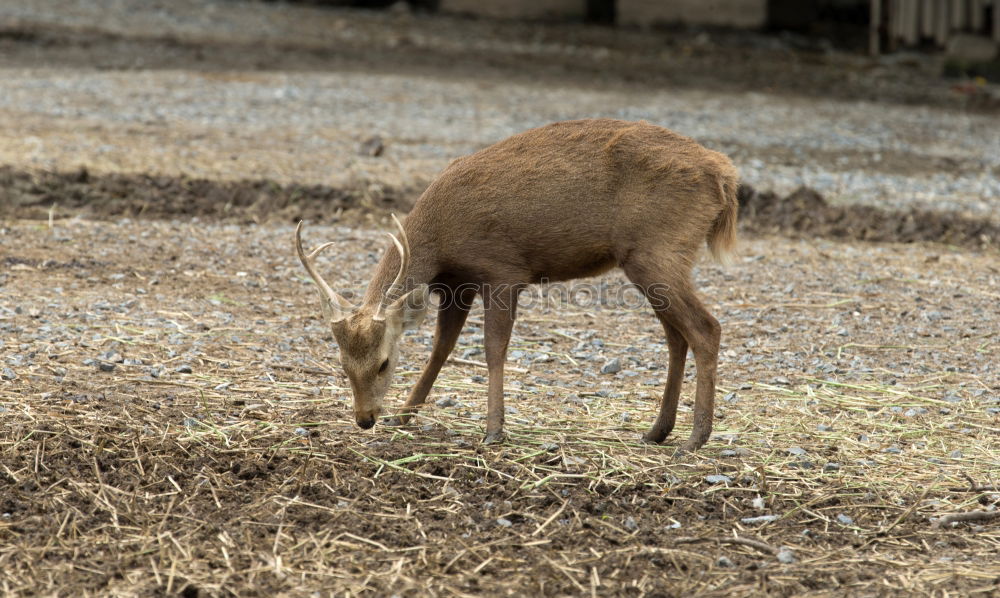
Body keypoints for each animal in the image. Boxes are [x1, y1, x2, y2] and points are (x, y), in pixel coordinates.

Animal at [292, 118, 740, 454]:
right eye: (342, 364)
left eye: (384, 362)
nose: (365, 419)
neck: (440, 238)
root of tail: (724, 175)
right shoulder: (458, 285)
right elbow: (442, 348)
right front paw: (406, 413)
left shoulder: (502, 271)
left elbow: (493, 349)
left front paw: (494, 430)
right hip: (652, 260)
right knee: (676, 335)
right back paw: (657, 431)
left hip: (657, 249)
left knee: (706, 328)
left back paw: (696, 438)